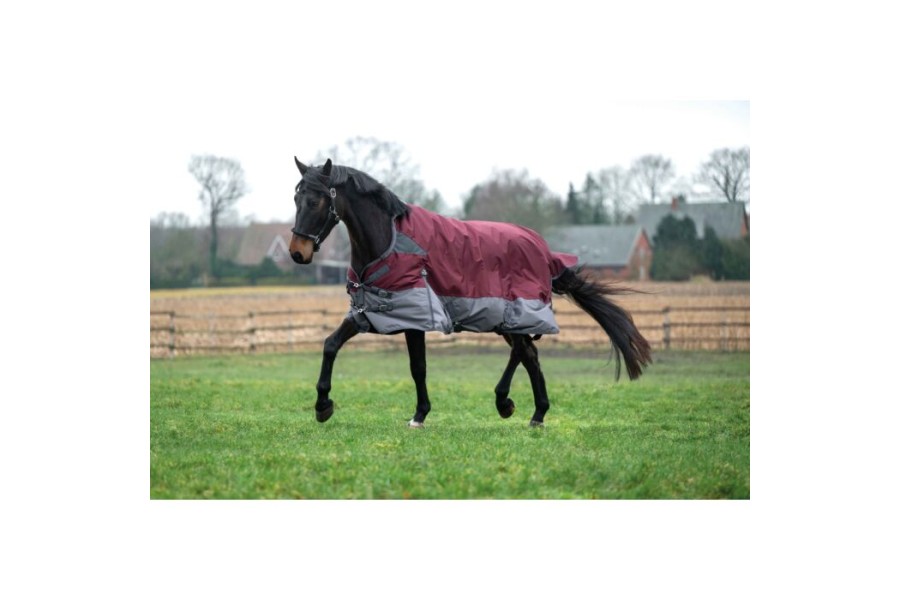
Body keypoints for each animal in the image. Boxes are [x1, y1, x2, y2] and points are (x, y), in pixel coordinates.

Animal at [289, 157, 652, 428]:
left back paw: (508, 402)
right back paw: (535, 413)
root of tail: (545, 251)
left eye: (316, 200)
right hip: (509, 318)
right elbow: (330, 344)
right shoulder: (370, 312)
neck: (387, 241)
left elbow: (417, 368)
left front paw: (419, 415)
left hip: (514, 312)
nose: (297, 252)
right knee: (529, 355)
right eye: (296, 198)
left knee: (524, 352)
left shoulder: (415, 317)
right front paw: (323, 405)